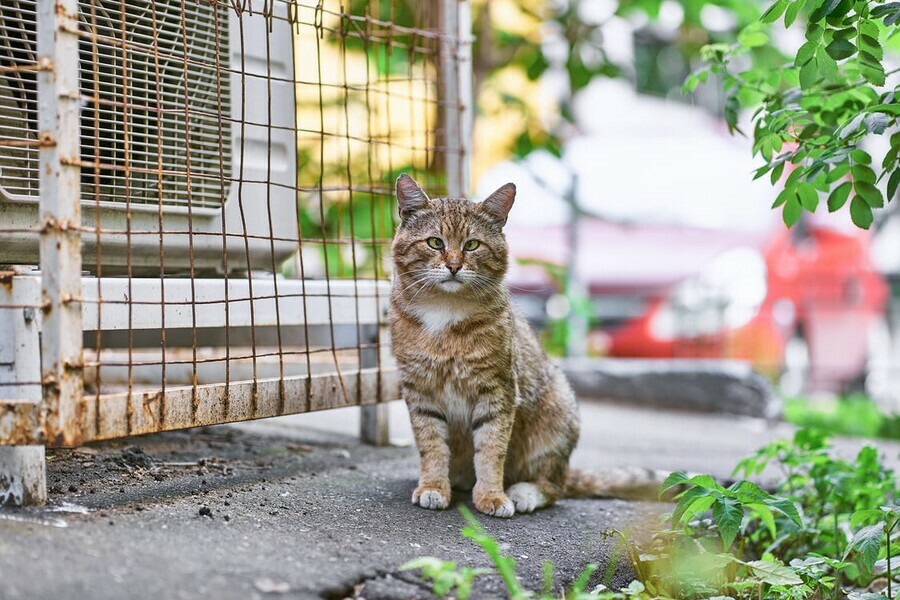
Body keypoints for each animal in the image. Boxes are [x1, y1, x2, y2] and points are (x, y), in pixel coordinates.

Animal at [390, 172, 656, 516]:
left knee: (554, 486)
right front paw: (434, 486)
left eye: (472, 244)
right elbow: (432, 446)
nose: (454, 266)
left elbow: (491, 450)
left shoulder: (498, 390)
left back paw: (524, 491)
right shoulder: (420, 391)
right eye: (435, 242)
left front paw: (491, 495)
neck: (444, 312)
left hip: (558, 414)